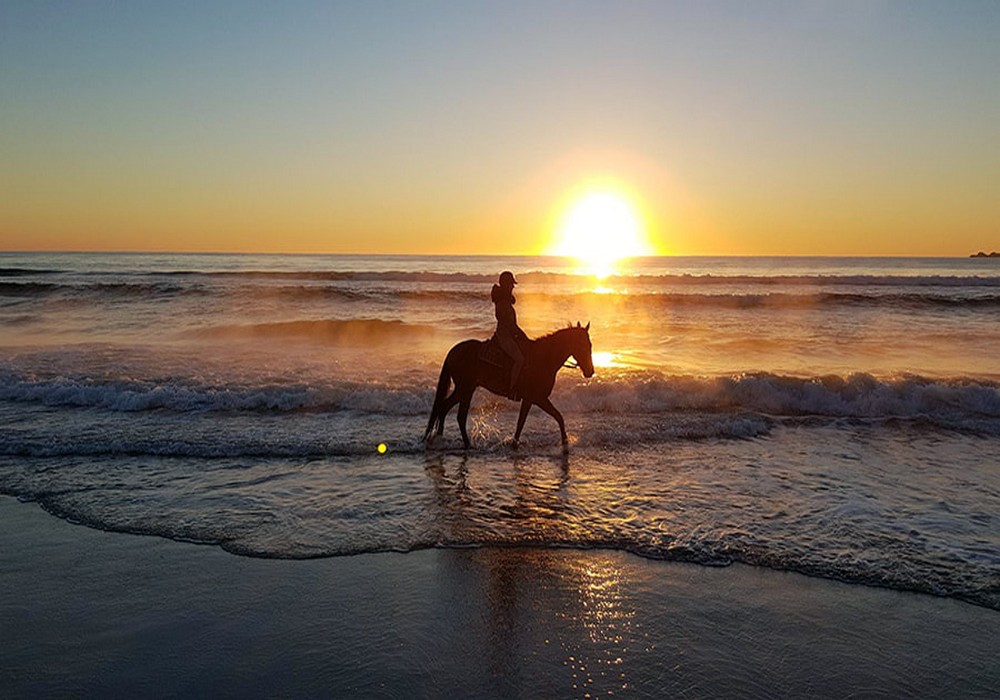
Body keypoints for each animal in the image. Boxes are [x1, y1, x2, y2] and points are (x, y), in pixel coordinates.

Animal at [424, 322, 592, 448]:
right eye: (584, 345)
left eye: (590, 345)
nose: (590, 371)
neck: (543, 358)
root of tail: (453, 351)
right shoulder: (538, 398)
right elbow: (558, 416)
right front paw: (565, 441)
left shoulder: (529, 399)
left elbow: (521, 422)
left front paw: (514, 443)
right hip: (465, 389)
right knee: (459, 416)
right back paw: (467, 445)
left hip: (464, 389)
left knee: (444, 407)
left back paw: (440, 438)